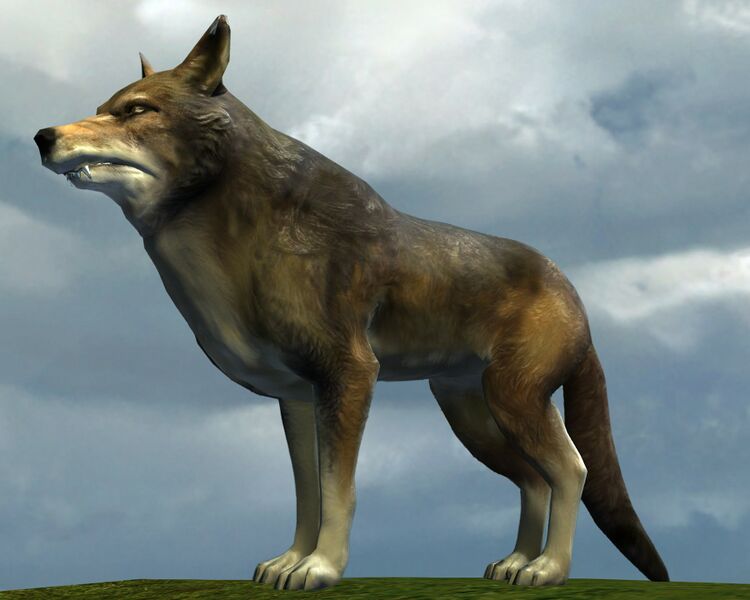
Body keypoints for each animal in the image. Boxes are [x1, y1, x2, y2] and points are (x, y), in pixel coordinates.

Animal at [34, 15, 669, 591]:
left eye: (136, 111)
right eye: (102, 106)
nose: (42, 137)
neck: (236, 241)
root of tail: (573, 291)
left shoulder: (349, 376)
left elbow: (339, 491)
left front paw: (322, 568)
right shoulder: (298, 396)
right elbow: (307, 493)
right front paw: (292, 562)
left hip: (512, 403)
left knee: (572, 469)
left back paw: (549, 569)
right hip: (475, 417)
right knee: (534, 480)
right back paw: (514, 563)